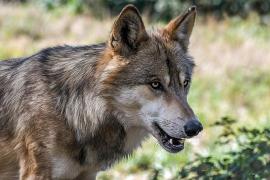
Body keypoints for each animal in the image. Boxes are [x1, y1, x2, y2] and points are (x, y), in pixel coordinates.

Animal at [0, 4, 202, 180]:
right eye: (155, 84)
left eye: (185, 83)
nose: (196, 127)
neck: (70, 111)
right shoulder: (36, 174)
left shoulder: (88, 175)